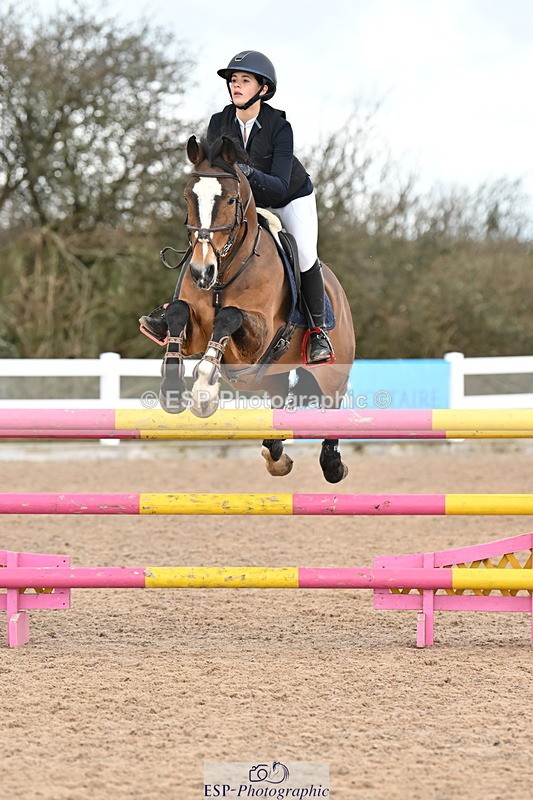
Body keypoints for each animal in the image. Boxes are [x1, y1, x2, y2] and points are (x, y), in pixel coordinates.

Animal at [157, 134, 355, 483]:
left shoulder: (257, 335)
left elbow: (229, 315)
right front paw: (172, 390)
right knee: (279, 400)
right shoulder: (195, 330)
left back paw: (332, 465)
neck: (224, 271)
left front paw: (204, 389)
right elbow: (177, 312)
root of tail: (338, 291)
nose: (201, 272)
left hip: (333, 372)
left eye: (231, 200)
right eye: (187, 197)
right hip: (267, 376)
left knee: (332, 407)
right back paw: (276, 456)